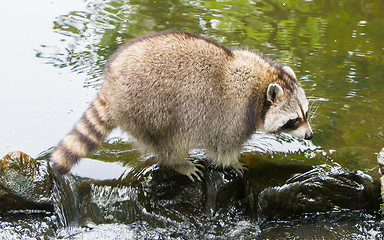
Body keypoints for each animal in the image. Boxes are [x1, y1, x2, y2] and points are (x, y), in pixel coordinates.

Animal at [51, 30, 314, 180]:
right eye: (294, 120)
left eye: (306, 113)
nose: (310, 135)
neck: (262, 83)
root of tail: (111, 85)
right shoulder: (234, 113)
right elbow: (223, 147)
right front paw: (233, 162)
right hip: (148, 108)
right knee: (169, 142)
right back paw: (179, 163)